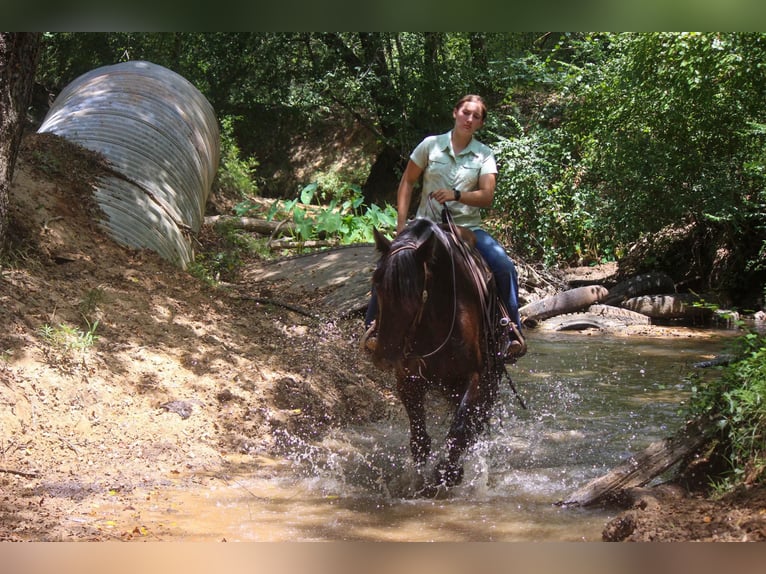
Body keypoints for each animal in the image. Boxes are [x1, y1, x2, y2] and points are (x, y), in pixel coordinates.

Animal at [368, 218, 512, 492]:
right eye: (377, 284)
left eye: (416, 292)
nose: (385, 356)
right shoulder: (408, 379)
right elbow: (419, 439)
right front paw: (418, 481)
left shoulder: (474, 377)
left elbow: (460, 431)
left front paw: (448, 474)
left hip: (492, 378)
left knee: (476, 424)